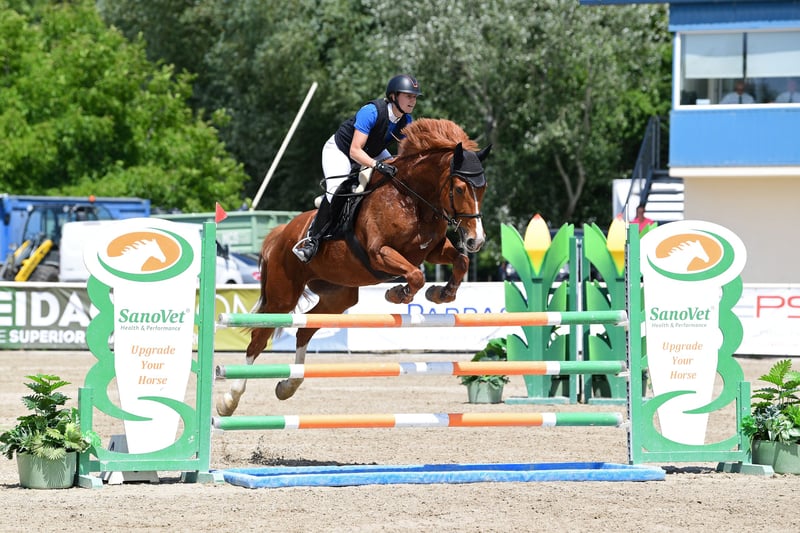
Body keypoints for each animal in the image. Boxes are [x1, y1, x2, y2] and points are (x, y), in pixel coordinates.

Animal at [217, 118, 491, 416]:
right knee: (258, 337)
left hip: (337, 296)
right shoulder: (379, 253)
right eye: (460, 188)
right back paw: (229, 400)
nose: (476, 240)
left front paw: (442, 293)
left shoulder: (432, 250)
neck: (412, 200)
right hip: (282, 296)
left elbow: (460, 261)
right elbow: (416, 275)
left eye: (483, 188)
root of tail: (280, 234)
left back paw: (288, 386)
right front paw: (398, 294)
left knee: (304, 329)